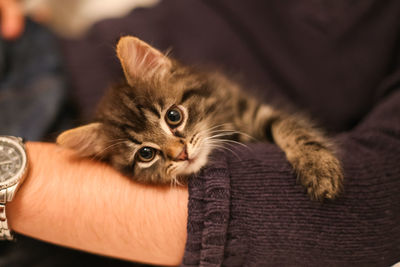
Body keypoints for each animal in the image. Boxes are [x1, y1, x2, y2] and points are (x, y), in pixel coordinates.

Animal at [57, 36, 344, 202]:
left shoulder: (249, 108)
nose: (181, 153)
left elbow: (290, 127)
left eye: (173, 116)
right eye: (146, 154)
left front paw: (318, 167)